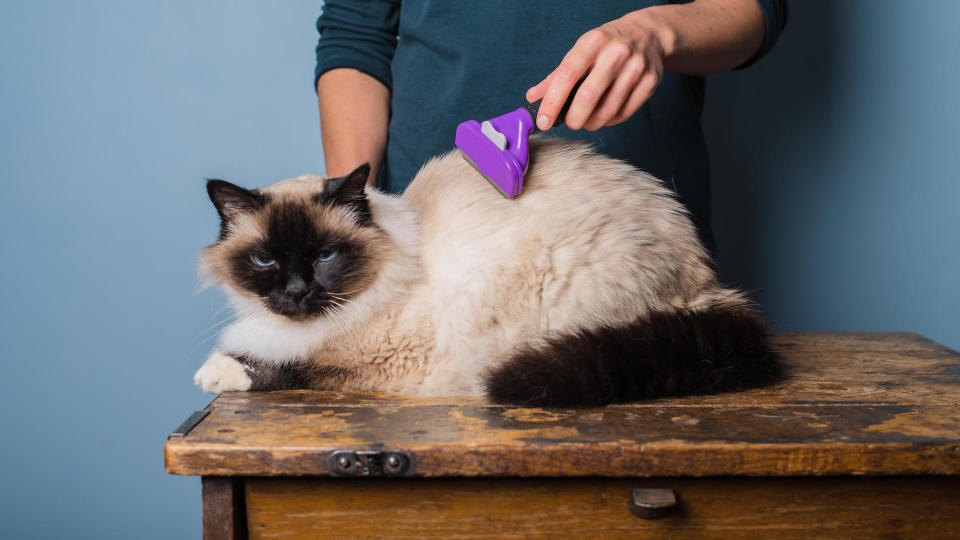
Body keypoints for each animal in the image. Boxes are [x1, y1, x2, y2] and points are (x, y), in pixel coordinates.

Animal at [193, 138, 780, 404]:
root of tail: (705, 283)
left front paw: (215, 373)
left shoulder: (385, 362)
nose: (296, 292)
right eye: (266, 260)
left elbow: (293, 368)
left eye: (323, 257)